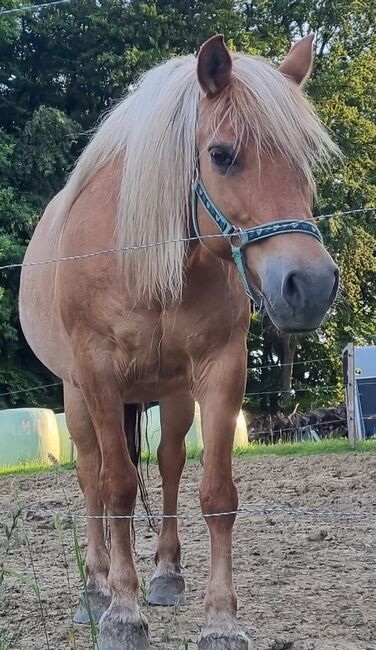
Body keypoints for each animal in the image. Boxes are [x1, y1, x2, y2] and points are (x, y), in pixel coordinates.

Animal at [19, 34, 340, 648]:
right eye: (220, 154)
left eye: (305, 161)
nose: (309, 285)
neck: (145, 258)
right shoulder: (96, 373)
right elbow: (117, 488)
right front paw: (122, 614)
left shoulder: (219, 369)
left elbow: (216, 494)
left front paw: (221, 620)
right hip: (77, 395)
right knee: (92, 476)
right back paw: (96, 589)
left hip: (171, 394)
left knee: (168, 463)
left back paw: (165, 575)